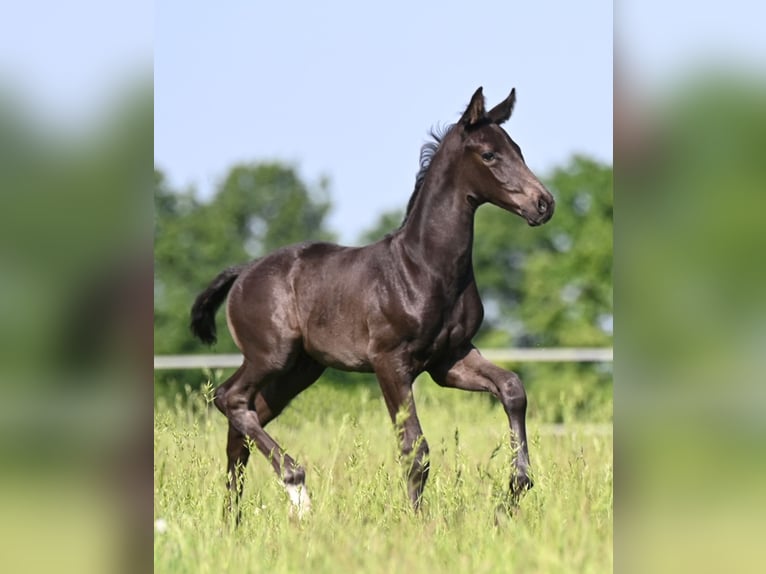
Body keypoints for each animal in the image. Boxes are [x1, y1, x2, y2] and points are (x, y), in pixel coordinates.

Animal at [190, 87, 555, 520]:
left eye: (517, 149)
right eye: (489, 155)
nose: (543, 204)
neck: (424, 267)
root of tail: (244, 271)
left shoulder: (449, 360)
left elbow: (512, 388)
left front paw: (516, 487)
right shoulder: (390, 362)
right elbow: (414, 448)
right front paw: (417, 522)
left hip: (301, 369)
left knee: (245, 418)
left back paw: (233, 520)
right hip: (271, 355)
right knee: (229, 399)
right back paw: (297, 490)